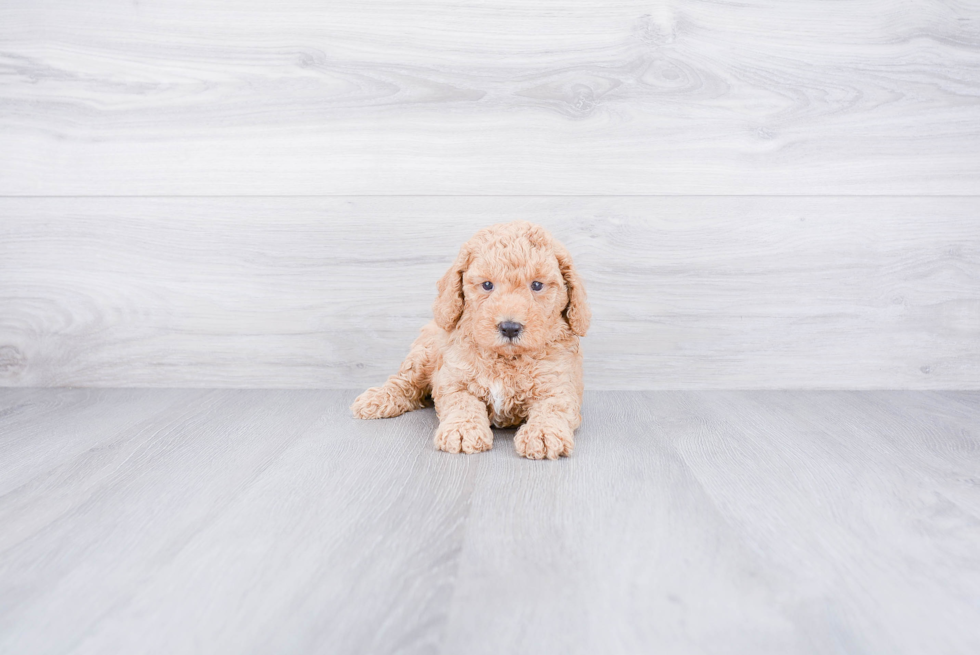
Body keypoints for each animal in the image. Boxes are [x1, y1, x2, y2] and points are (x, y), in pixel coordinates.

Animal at [352, 223, 588, 458]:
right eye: (487, 285)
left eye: (537, 285)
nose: (510, 328)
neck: (505, 358)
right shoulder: (454, 380)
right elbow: (463, 403)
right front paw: (462, 430)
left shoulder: (558, 385)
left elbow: (553, 407)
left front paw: (543, 434)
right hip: (424, 354)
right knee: (404, 381)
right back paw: (376, 399)